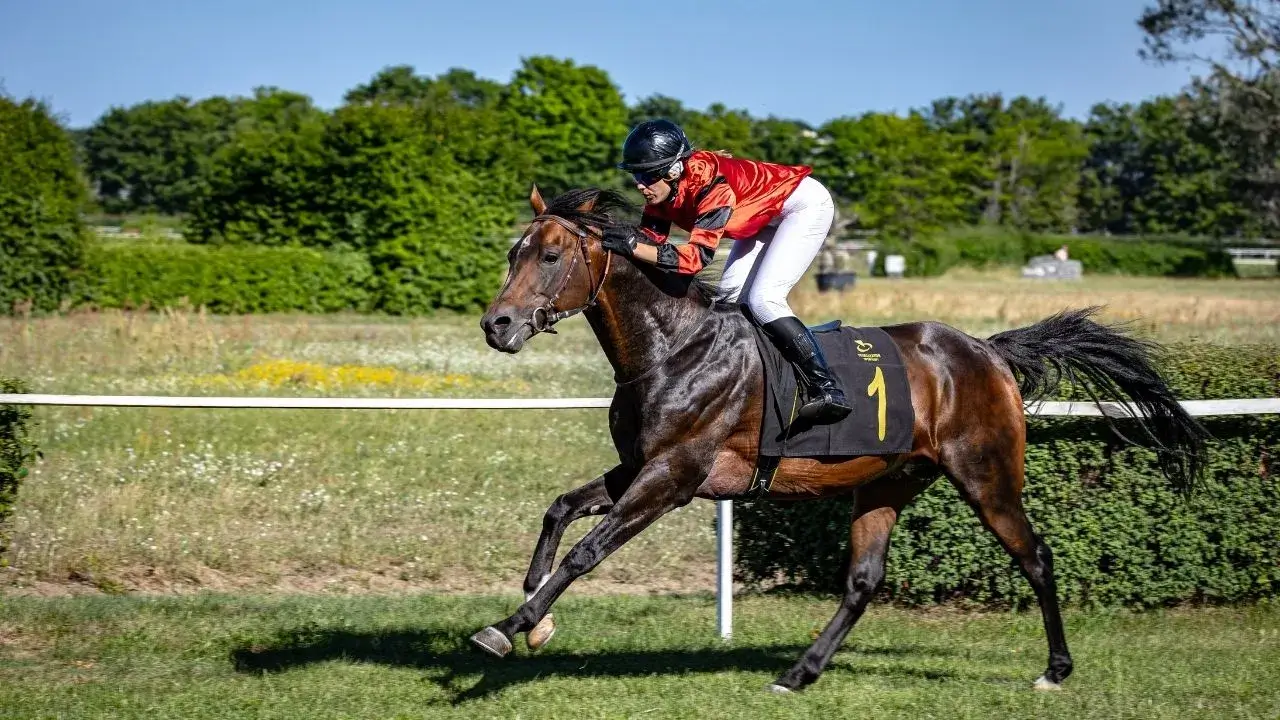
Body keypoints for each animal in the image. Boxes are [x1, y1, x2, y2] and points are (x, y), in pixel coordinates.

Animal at [471, 184, 1208, 691]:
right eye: (513, 252)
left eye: (552, 254)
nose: (497, 325)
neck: (673, 348)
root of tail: (989, 353)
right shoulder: (641, 466)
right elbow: (561, 509)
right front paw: (534, 613)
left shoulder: (673, 476)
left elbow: (587, 551)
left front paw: (508, 629)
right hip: (888, 481)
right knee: (863, 581)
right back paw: (799, 672)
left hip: (987, 475)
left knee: (1036, 558)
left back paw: (1055, 670)